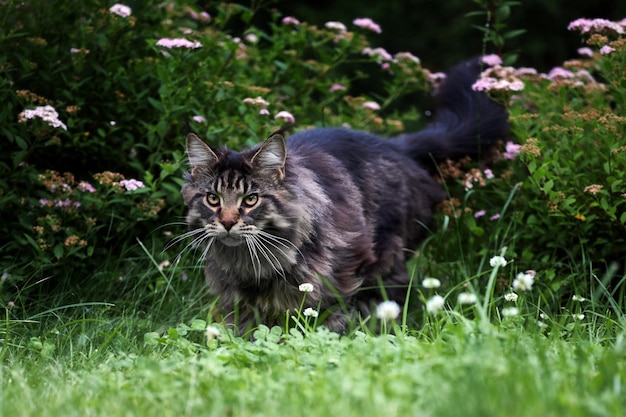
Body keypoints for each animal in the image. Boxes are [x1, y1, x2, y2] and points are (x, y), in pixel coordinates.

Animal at [179, 57, 508, 334]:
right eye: (213, 199)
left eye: (250, 200)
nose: (227, 222)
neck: (254, 264)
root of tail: (396, 144)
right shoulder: (237, 298)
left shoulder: (343, 276)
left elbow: (327, 323)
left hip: (387, 262)